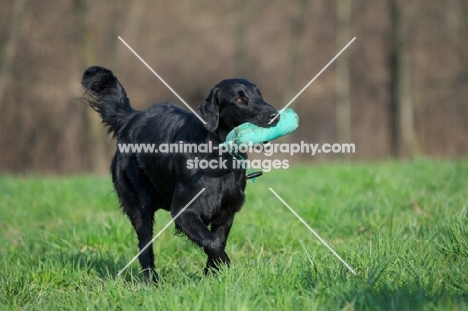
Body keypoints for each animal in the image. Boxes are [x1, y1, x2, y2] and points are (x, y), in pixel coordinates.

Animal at [80, 66, 278, 282]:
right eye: (240, 99)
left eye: (259, 95)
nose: (274, 115)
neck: (217, 156)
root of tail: (131, 118)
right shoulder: (184, 211)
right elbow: (213, 243)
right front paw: (226, 266)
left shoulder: (227, 212)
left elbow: (217, 241)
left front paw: (212, 275)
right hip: (139, 206)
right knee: (144, 247)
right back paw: (152, 280)